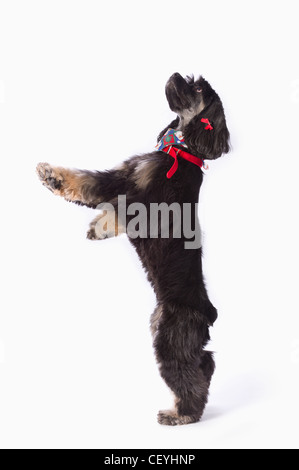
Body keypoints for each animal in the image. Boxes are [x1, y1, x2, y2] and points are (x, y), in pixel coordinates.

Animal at [36, 72, 231, 426]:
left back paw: (180, 414)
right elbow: (101, 199)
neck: (179, 151)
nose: (175, 74)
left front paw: (53, 177)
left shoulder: (138, 195)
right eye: (191, 79)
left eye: (196, 88)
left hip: (170, 337)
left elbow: (96, 189)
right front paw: (95, 227)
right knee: (205, 364)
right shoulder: (126, 187)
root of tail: (207, 312)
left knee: (188, 375)